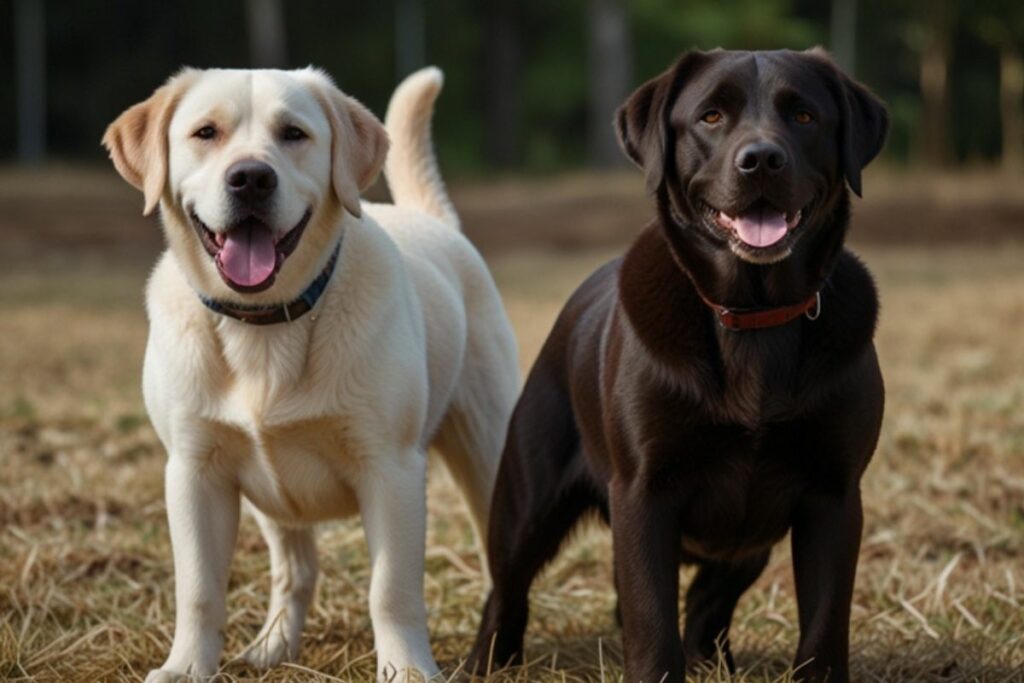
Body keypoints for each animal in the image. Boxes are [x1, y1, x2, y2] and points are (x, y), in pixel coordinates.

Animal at [101, 66, 520, 679]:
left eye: (293, 134)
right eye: (206, 133)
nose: (251, 178)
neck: (264, 324)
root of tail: (431, 219)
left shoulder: (390, 468)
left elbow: (391, 590)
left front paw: (407, 668)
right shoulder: (193, 471)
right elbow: (199, 590)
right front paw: (186, 667)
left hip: (488, 447)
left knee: (501, 551)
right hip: (273, 500)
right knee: (295, 571)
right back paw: (274, 645)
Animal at [468, 49, 884, 683]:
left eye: (805, 116)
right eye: (711, 116)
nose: (761, 159)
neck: (753, 317)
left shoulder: (834, 496)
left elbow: (823, 626)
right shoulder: (644, 492)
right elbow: (651, 621)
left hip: (748, 543)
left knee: (708, 599)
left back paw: (715, 660)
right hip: (526, 504)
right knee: (506, 591)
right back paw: (486, 663)